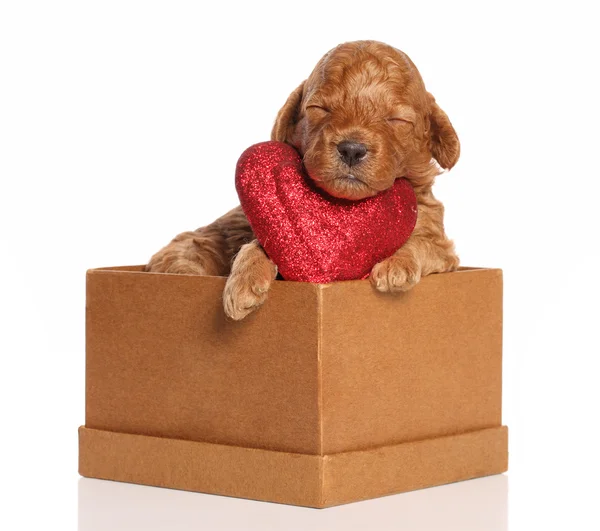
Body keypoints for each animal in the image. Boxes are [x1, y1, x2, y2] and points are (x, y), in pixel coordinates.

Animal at [145, 40, 460, 320]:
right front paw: (244, 282)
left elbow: (421, 243)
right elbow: (258, 245)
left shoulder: (442, 248)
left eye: (396, 120)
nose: (351, 148)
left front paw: (396, 264)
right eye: (319, 109)